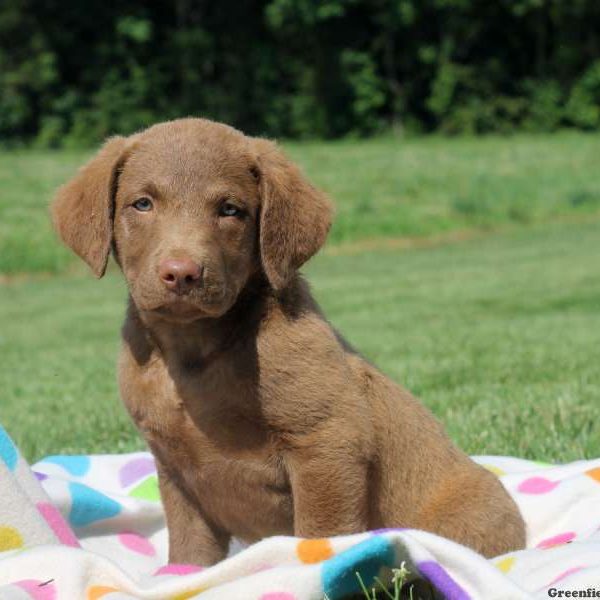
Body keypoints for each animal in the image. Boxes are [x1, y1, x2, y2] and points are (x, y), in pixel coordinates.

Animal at [54, 118, 528, 568]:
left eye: (230, 210)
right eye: (142, 203)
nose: (182, 273)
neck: (195, 351)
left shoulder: (328, 440)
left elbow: (321, 530)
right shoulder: (174, 468)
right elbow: (190, 550)